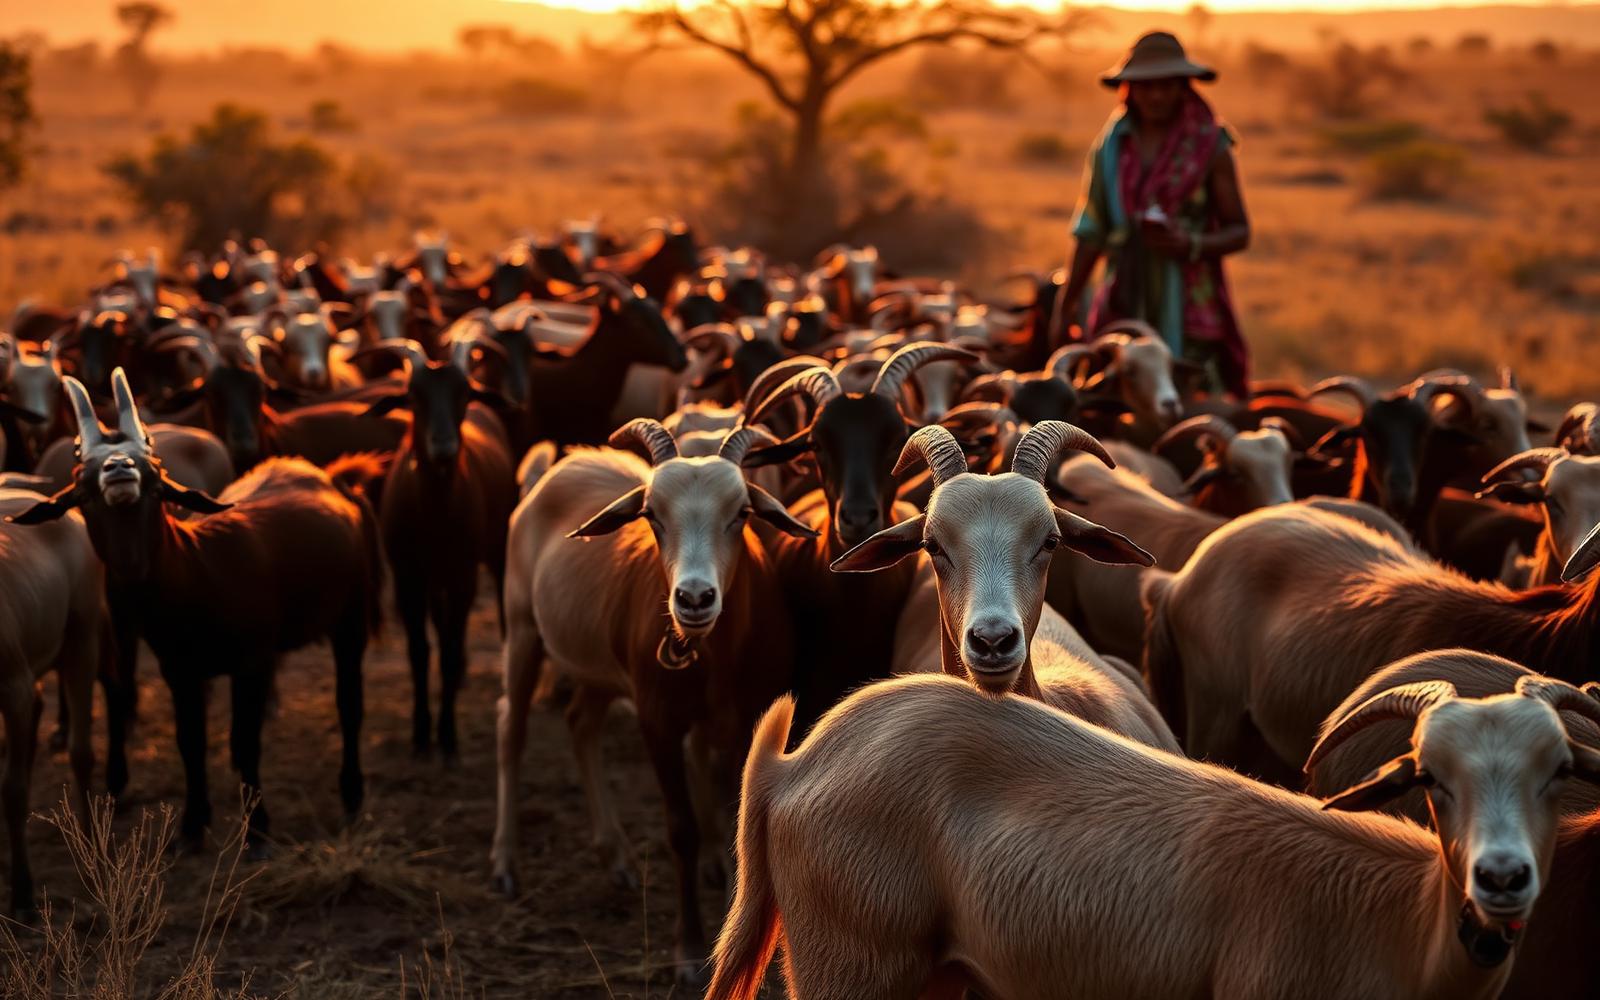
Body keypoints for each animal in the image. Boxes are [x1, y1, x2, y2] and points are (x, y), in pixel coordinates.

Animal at [12, 369, 380, 851]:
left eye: (154, 469)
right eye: (82, 480)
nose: (119, 469)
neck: (200, 567)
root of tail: (332, 481)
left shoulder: (251, 663)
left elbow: (245, 742)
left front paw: (257, 831)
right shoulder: (180, 671)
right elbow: (191, 741)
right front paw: (192, 826)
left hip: (350, 622)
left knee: (349, 704)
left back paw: (353, 798)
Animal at [494, 420, 815, 986]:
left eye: (742, 512)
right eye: (651, 515)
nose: (693, 599)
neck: (711, 655)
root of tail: (562, 464)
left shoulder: (744, 721)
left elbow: (734, 823)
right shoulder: (658, 721)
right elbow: (682, 830)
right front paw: (688, 950)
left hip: (596, 664)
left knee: (581, 724)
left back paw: (616, 855)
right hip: (523, 628)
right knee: (513, 730)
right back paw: (506, 864)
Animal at [707, 669, 1599, 999]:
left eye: (1560, 770)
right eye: (1431, 780)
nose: (1502, 879)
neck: (1393, 922)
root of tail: (797, 761)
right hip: (851, 960)